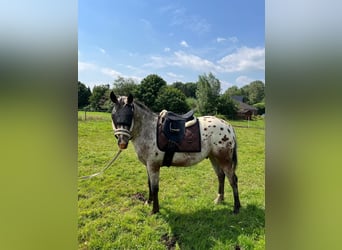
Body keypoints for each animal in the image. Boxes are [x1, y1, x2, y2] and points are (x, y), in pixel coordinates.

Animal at [109, 92, 240, 215]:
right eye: (113, 115)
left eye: (129, 115)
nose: (122, 142)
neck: (149, 130)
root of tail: (228, 126)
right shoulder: (148, 165)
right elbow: (149, 184)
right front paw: (148, 202)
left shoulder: (153, 166)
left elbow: (155, 188)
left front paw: (154, 210)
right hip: (214, 158)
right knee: (221, 176)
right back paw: (219, 199)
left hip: (224, 159)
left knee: (232, 179)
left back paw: (236, 208)